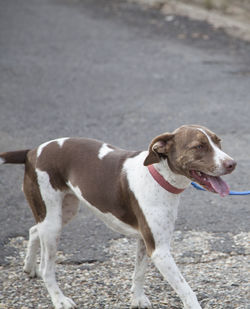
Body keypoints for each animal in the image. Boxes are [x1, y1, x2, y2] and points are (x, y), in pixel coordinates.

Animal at [0, 125, 235, 308]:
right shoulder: (159, 251)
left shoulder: (144, 240)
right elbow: (186, 290)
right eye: (198, 146)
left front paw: (137, 300)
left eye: (218, 142)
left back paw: (29, 267)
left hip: (62, 212)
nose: (232, 163)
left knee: (33, 229)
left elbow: (139, 273)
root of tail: (32, 152)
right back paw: (59, 299)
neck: (158, 176)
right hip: (53, 224)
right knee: (47, 268)